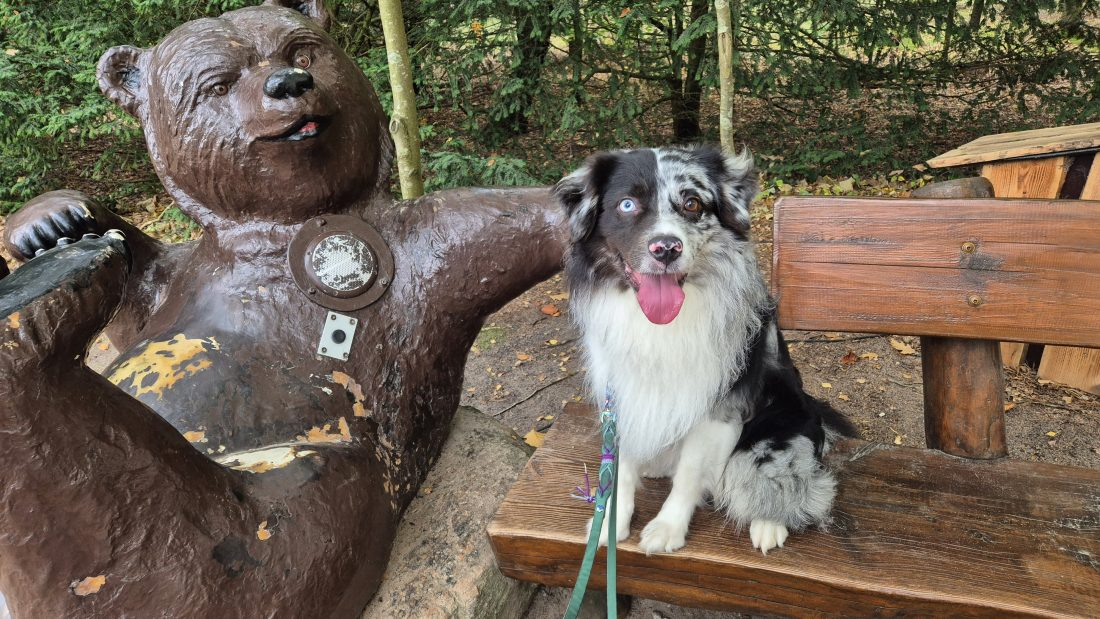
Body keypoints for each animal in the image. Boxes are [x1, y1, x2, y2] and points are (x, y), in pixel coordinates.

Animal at [554, 146, 853, 556]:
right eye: (627, 204)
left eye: (692, 203)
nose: (666, 248)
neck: (660, 327)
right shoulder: (624, 393)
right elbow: (621, 469)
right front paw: (612, 522)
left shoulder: (719, 407)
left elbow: (691, 472)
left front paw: (668, 527)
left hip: (781, 421)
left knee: (783, 475)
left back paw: (769, 521)